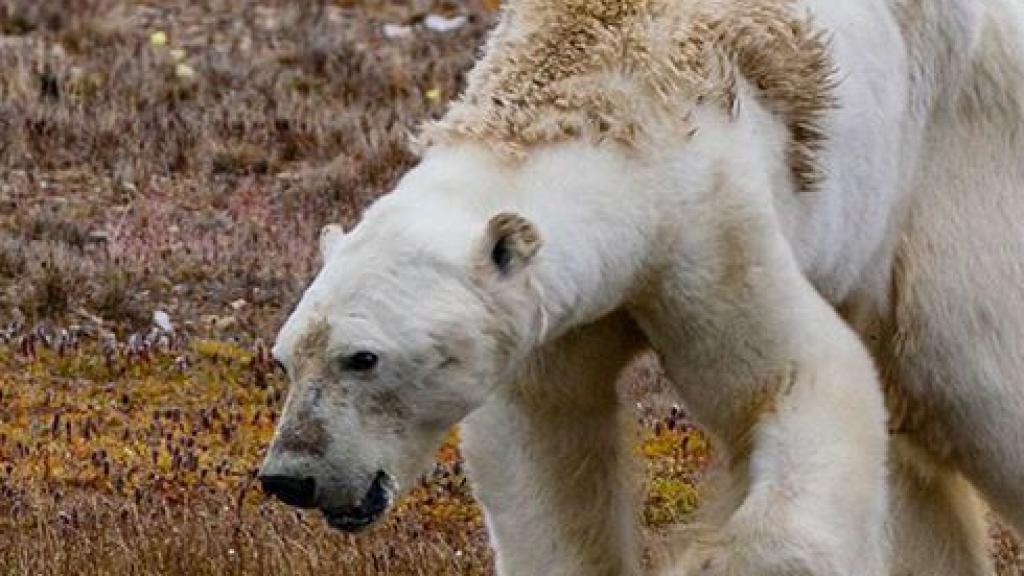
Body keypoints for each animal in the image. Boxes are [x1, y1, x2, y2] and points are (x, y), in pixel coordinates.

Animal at [258, 0, 1024, 574]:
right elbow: (547, 443)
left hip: (943, 162)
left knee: (968, 376)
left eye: (363, 357)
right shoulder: (554, 312)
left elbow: (794, 380)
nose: (290, 475)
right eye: (286, 358)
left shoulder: (707, 230)